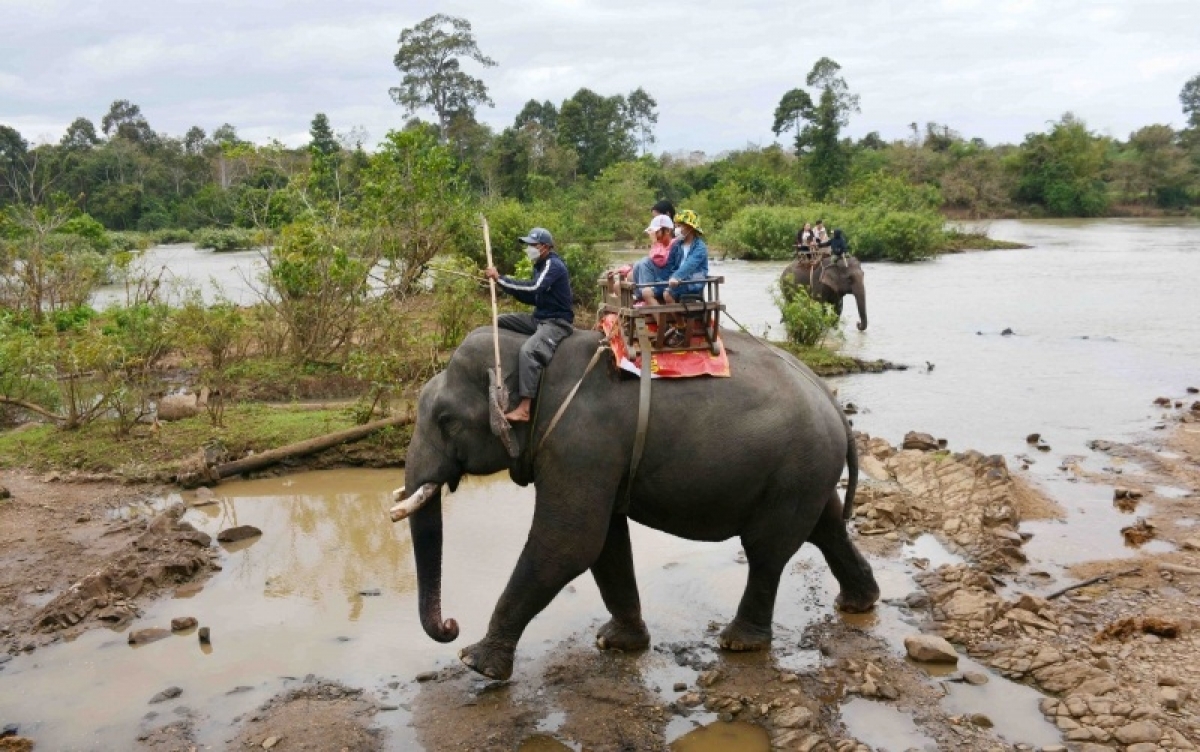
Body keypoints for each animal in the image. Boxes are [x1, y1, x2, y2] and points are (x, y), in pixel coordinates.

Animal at [398, 326, 878, 681]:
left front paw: (475, 663)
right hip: (807, 473)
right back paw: (859, 602)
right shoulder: (593, 456)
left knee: (766, 551)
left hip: (794, 471)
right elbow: (605, 543)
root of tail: (834, 405)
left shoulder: (579, 444)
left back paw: (738, 642)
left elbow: (568, 543)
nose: (451, 625)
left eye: (446, 421)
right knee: (827, 527)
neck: (529, 351)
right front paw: (616, 642)